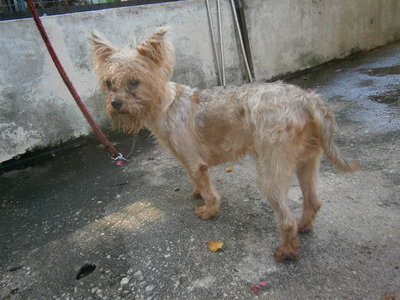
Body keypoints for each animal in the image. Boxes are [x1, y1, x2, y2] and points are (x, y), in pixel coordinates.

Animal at [89, 29, 360, 262]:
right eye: (109, 83)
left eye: (134, 82)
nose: (115, 103)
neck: (165, 104)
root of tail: (306, 98)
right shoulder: (188, 162)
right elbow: (197, 182)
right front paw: (197, 192)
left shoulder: (194, 161)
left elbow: (208, 190)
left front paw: (209, 210)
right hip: (307, 162)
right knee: (313, 201)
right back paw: (304, 226)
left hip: (272, 173)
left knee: (286, 219)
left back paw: (286, 250)